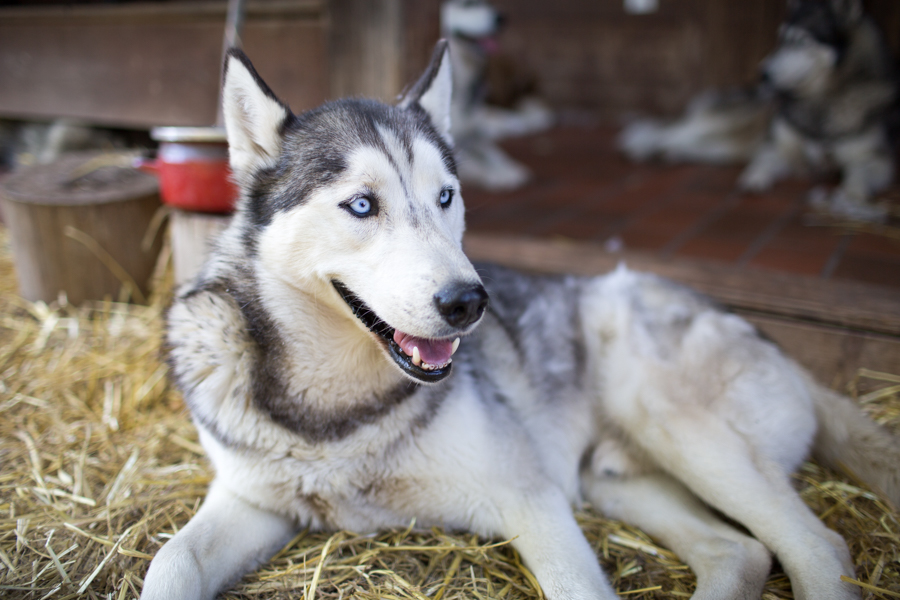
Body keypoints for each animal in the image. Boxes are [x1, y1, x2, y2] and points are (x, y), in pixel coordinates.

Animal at [144, 42, 900, 600]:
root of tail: (763, 335)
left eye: (446, 197)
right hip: (615, 479)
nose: (468, 303)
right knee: (738, 551)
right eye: (362, 205)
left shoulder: (532, 499)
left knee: (818, 544)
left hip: (679, 428)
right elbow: (169, 562)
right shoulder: (249, 500)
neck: (336, 416)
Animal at [624, 0, 896, 223]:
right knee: (669, 131)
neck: (821, 102)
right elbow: (762, 164)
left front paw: (851, 197)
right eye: (780, 39)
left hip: (727, 146)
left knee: (687, 143)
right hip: (724, 123)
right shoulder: (779, 149)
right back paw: (642, 146)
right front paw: (753, 179)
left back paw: (669, 153)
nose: (762, 73)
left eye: (800, 41)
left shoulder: (878, 159)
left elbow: (857, 176)